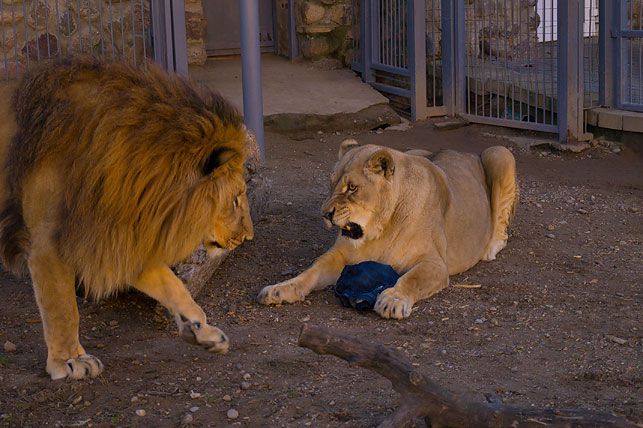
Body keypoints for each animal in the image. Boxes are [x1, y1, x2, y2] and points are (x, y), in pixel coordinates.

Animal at [0, 56, 254, 382]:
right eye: (235, 198)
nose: (248, 237)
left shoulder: (120, 235)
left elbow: (174, 286)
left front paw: (202, 330)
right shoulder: (49, 244)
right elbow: (63, 309)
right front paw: (68, 361)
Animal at [260, 139, 516, 320]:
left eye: (352, 187)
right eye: (331, 184)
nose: (325, 214)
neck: (380, 230)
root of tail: (461, 151)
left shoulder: (434, 263)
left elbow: (411, 279)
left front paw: (392, 300)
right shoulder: (340, 255)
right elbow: (310, 272)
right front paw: (279, 289)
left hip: (499, 153)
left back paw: (491, 247)